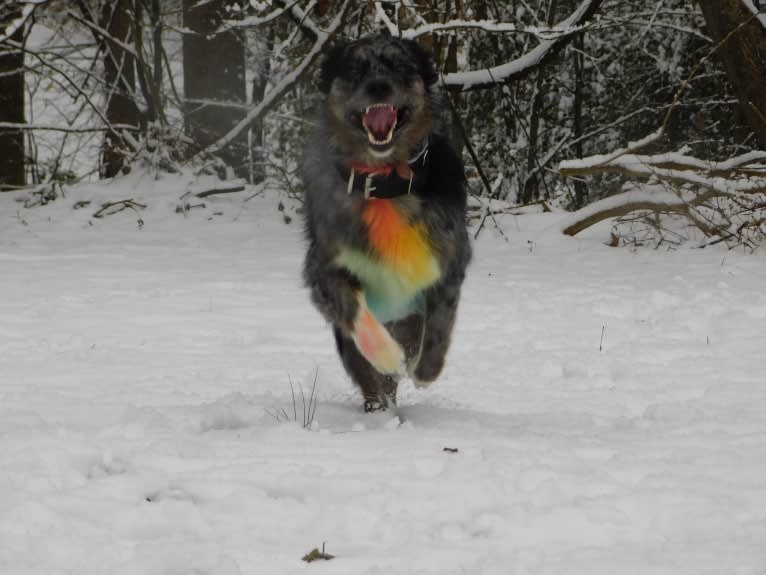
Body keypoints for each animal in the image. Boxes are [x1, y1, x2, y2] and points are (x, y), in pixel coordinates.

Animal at [302, 36, 472, 412]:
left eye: (400, 66)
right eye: (355, 69)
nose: (378, 86)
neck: (385, 183)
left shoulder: (450, 259)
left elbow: (440, 322)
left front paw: (426, 369)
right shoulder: (323, 268)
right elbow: (354, 311)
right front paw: (387, 356)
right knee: (371, 380)